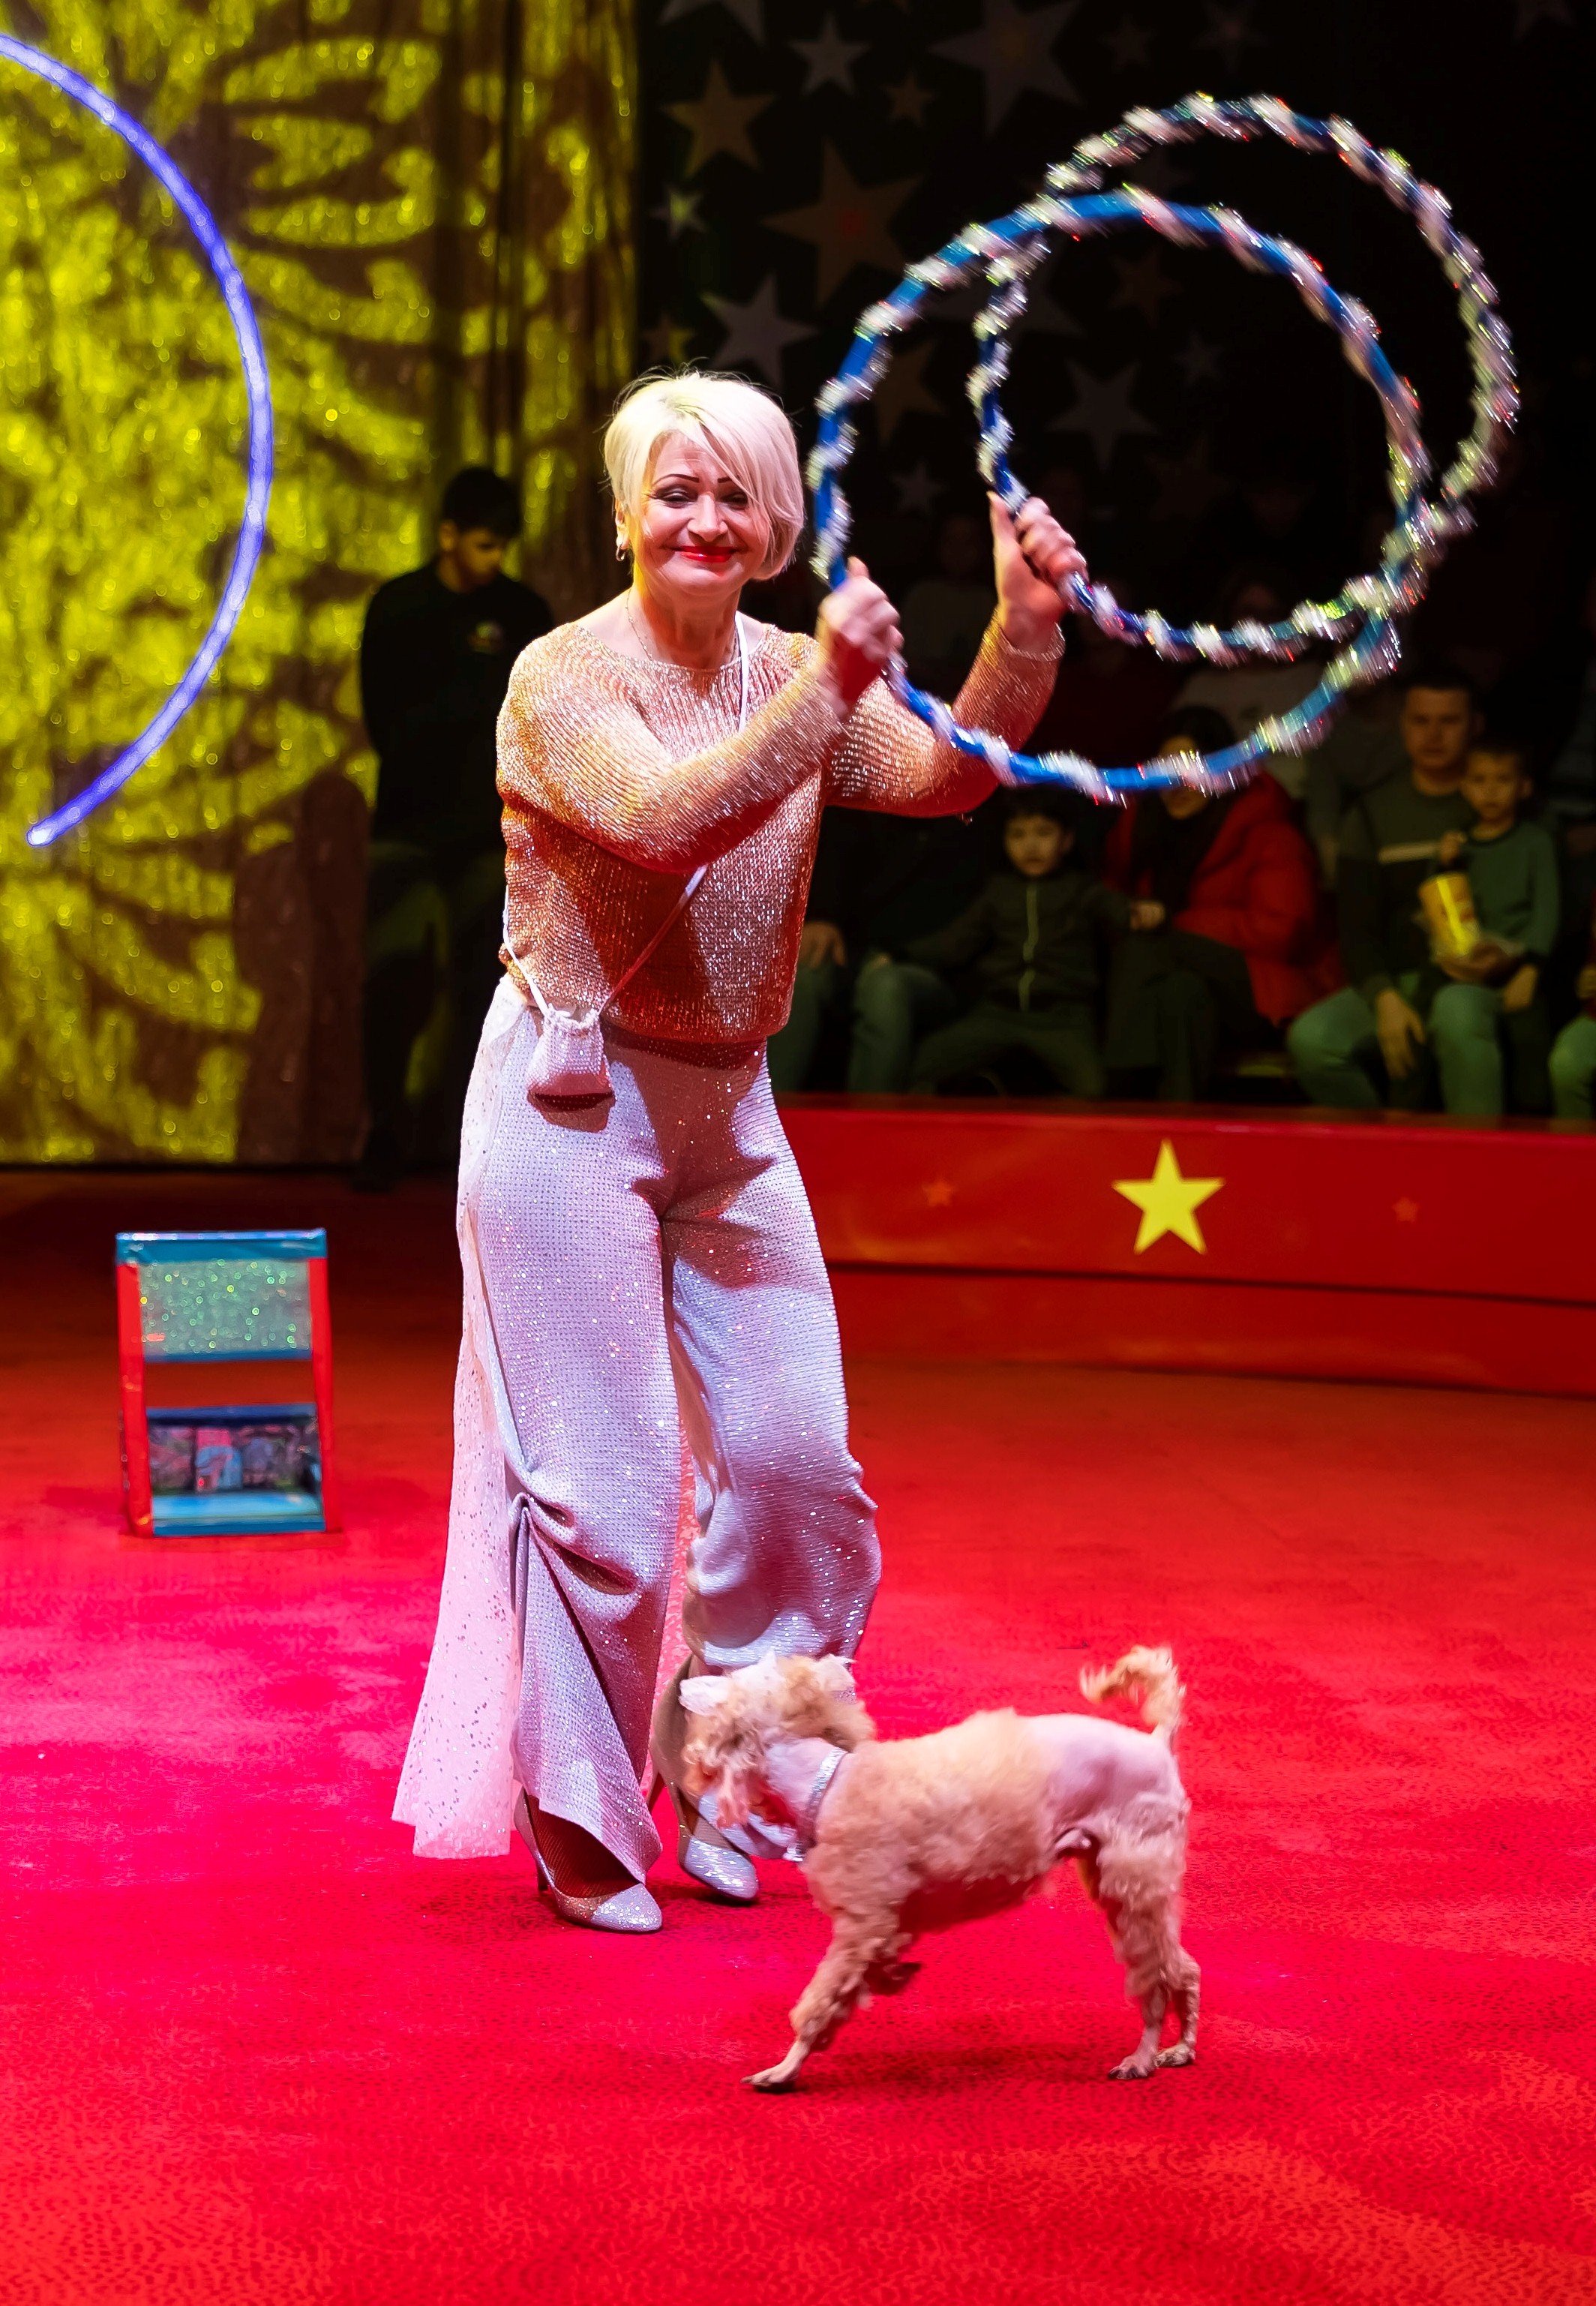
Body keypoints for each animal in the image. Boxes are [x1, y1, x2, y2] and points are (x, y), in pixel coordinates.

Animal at [680, 1646, 1198, 2092]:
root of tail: (1158, 1744)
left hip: (1135, 1879)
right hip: (1126, 1886)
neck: (829, 1783)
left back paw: (1143, 2057)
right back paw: (1180, 2049)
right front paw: (894, 1975)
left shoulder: (860, 1927)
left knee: (1156, 1979)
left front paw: (784, 2071)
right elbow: (874, 1969)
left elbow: (820, 2008)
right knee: (1183, 1969)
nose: (685, 1690)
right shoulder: (883, 1927)